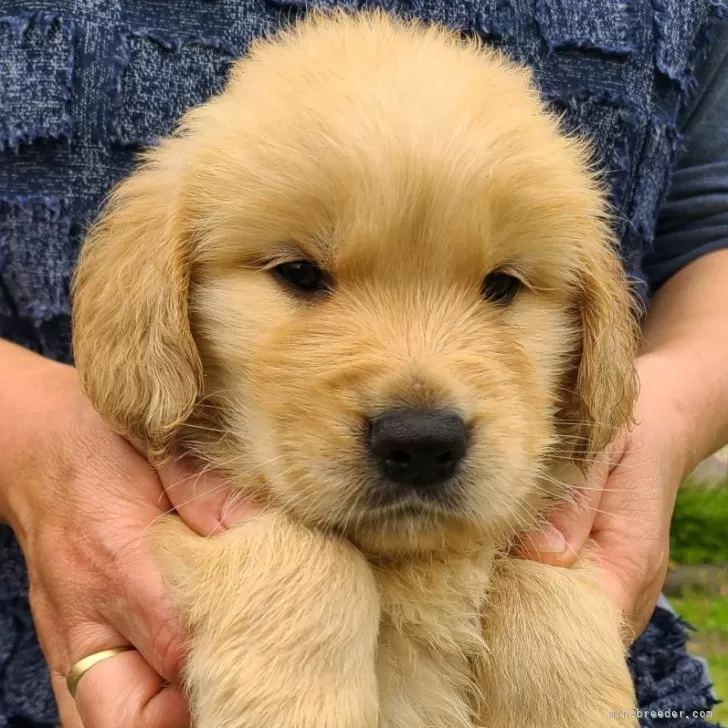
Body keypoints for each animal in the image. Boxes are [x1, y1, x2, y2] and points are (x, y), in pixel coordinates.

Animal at [71, 9, 640, 728]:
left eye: (502, 287)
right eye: (298, 273)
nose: (421, 443)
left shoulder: (547, 530)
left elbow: (543, 581)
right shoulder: (193, 517)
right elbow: (308, 553)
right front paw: (295, 704)